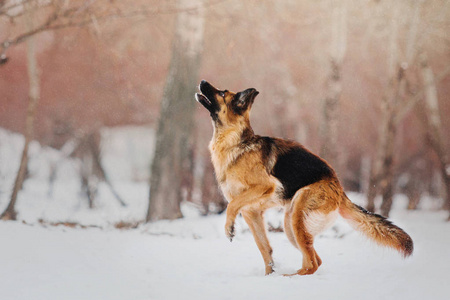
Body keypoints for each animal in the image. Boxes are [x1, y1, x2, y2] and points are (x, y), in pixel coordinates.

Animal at [195, 80, 414, 276]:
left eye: (222, 93)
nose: (203, 81)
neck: (234, 142)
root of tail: (340, 189)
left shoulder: (265, 187)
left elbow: (231, 207)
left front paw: (229, 228)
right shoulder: (252, 213)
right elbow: (264, 248)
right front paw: (268, 275)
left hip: (297, 218)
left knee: (313, 263)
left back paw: (291, 278)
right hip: (290, 224)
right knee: (315, 259)